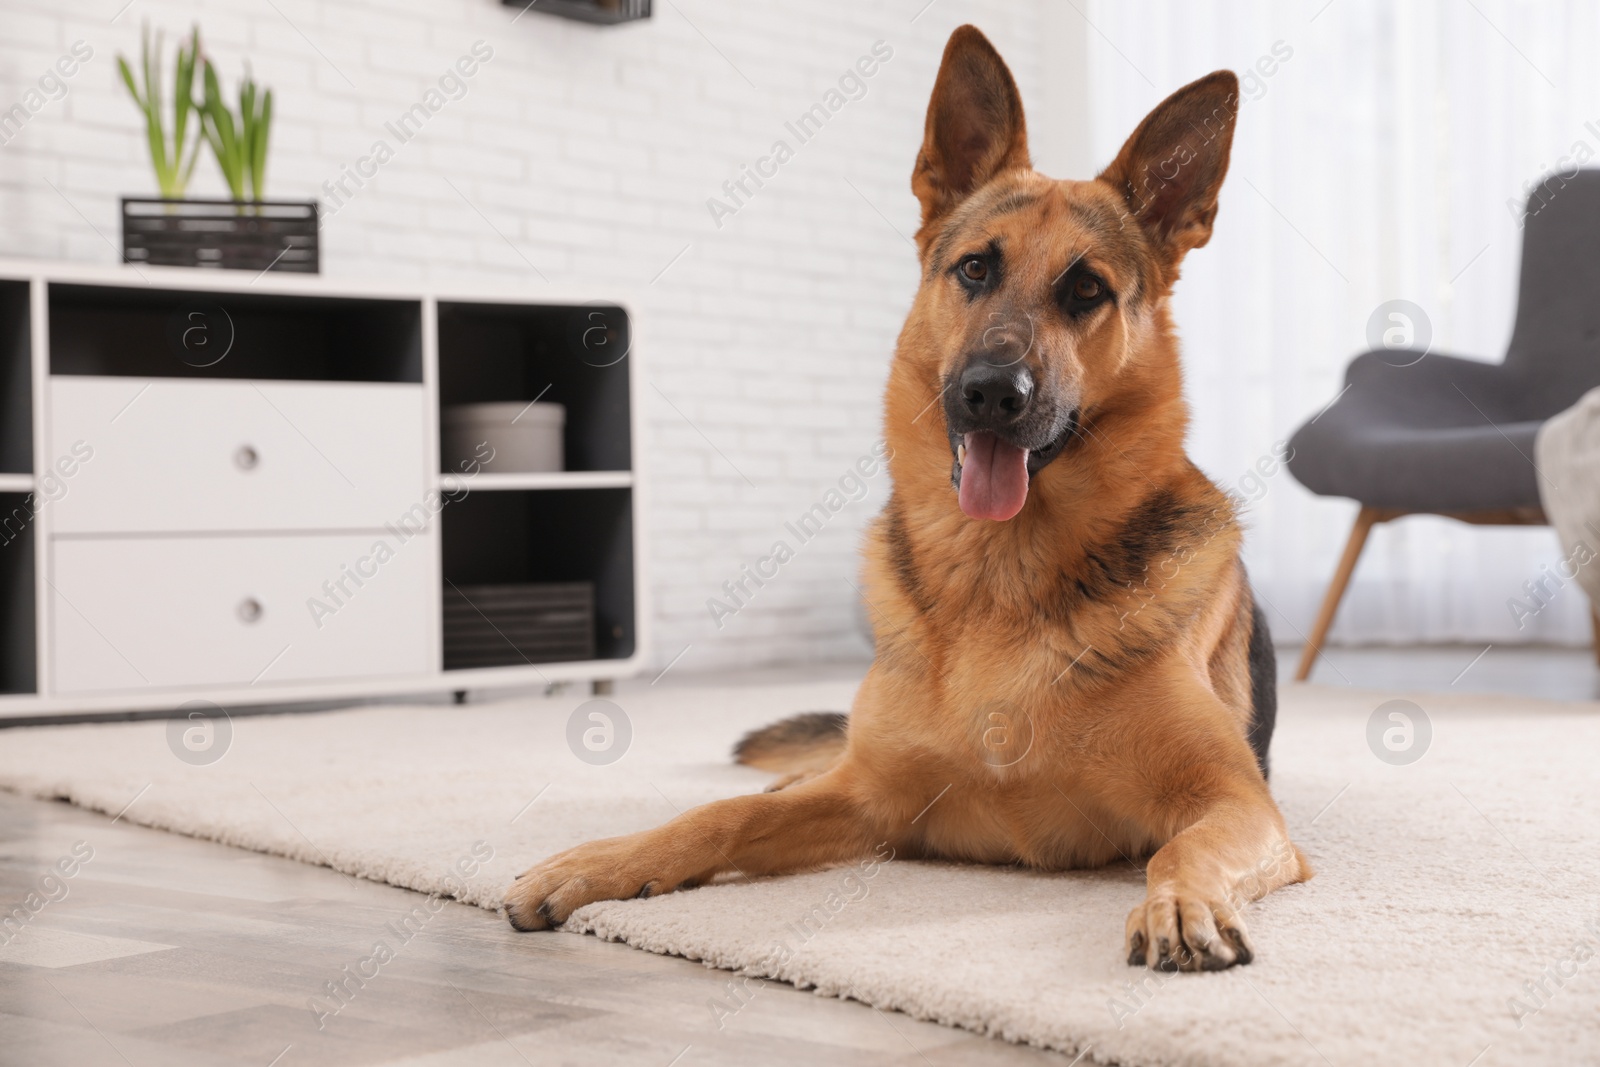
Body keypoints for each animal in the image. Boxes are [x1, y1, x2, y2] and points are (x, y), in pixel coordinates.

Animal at [512, 24, 1312, 979]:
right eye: (975, 269)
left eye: (1086, 289)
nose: (992, 393)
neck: (1000, 576)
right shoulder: (869, 797)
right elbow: (723, 814)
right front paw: (603, 860)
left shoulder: (1238, 803)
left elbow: (1183, 847)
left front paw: (1182, 902)